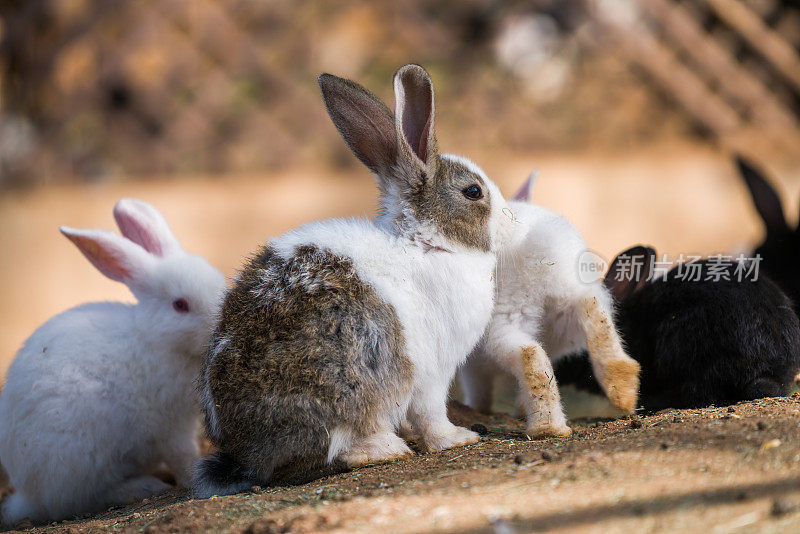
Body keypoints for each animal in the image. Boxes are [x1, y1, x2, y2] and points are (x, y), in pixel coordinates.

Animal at [0, 200, 227, 528]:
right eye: (180, 305)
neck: (156, 339)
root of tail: (28, 497)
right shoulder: (171, 424)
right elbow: (182, 454)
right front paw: (193, 476)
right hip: (81, 456)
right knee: (78, 499)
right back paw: (143, 487)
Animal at [194, 65, 512, 500]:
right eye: (473, 192)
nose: (512, 222)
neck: (425, 241)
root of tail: (244, 454)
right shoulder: (432, 372)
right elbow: (432, 413)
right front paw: (457, 439)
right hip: (347, 381)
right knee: (326, 452)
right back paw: (383, 448)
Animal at [460, 174, 640, 438]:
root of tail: (537, 249)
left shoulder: (472, 367)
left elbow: (478, 389)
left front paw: (478, 410)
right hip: (569, 304)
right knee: (591, 308)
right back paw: (622, 387)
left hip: (505, 319)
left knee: (528, 354)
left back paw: (547, 428)